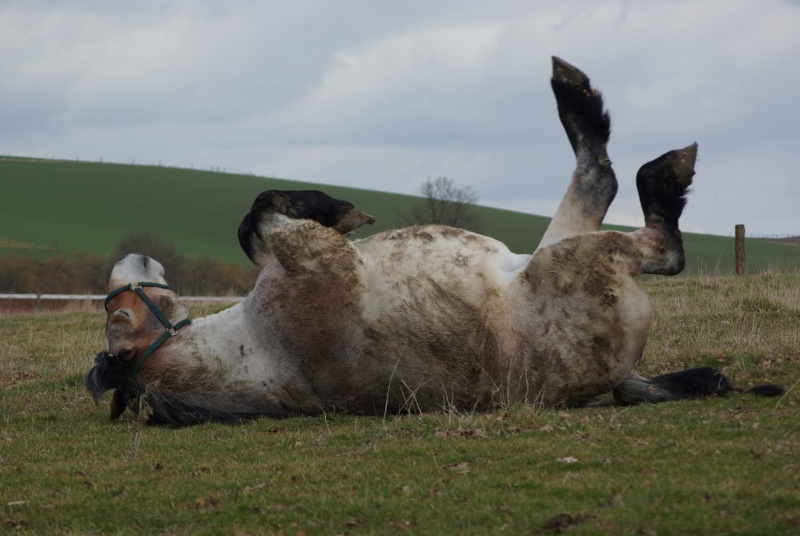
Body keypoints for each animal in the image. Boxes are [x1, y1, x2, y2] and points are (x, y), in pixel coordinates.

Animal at [86, 57, 780, 428]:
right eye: (116, 319)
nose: (127, 263)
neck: (256, 348)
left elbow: (254, 219)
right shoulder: (312, 261)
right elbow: (256, 216)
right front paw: (339, 209)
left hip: (535, 253)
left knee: (597, 178)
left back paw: (573, 94)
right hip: (575, 260)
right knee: (649, 227)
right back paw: (643, 151)